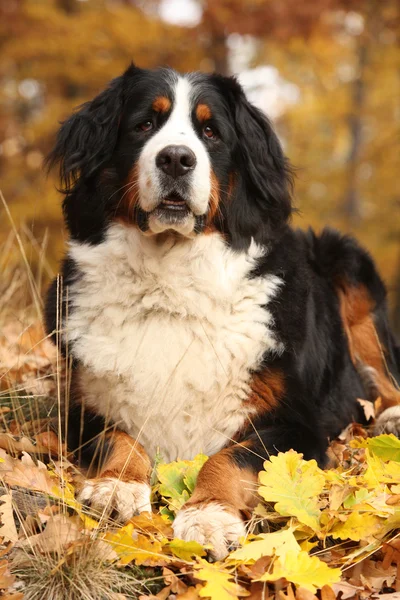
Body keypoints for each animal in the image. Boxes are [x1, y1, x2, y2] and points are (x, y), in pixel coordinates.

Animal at [44, 63, 400, 560]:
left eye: (210, 131)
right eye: (144, 124)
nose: (176, 159)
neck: (170, 285)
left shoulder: (298, 426)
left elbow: (230, 457)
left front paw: (208, 515)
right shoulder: (80, 406)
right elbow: (116, 438)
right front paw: (116, 486)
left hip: (347, 260)